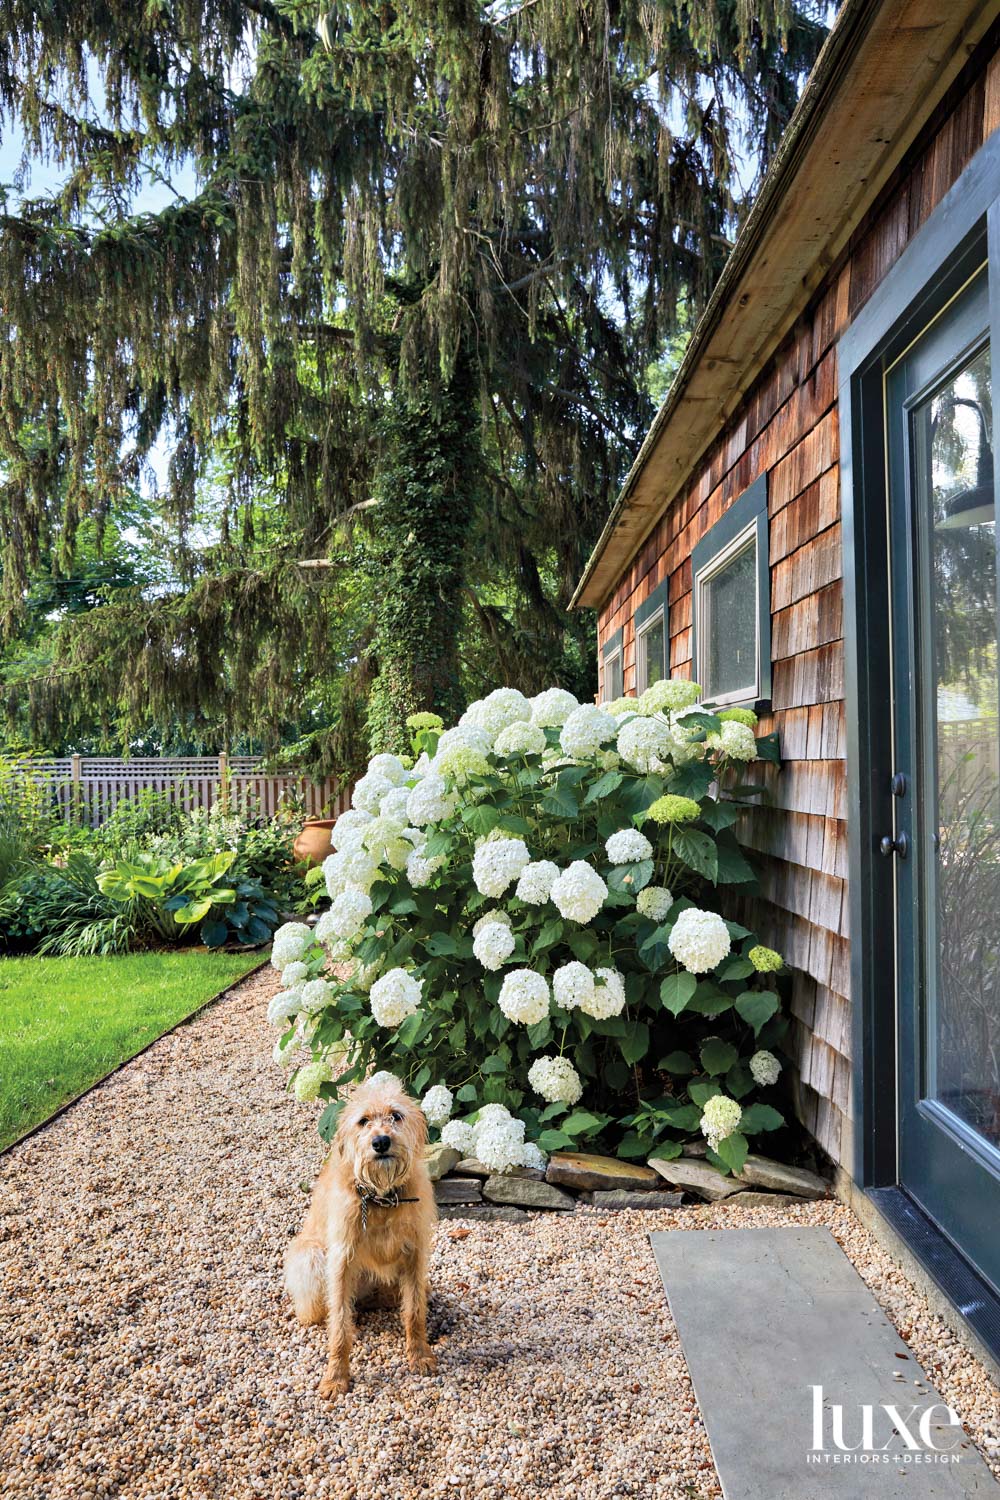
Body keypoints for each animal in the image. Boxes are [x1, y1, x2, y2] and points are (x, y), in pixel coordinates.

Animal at [283, 1080, 434, 1392]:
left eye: (396, 1115)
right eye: (363, 1121)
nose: (381, 1142)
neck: (382, 1200)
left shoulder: (415, 1255)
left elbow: (414, 1312)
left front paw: (419, 1355)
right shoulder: (341, 1262)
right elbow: (339, 1325)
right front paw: (336, 1377)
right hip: (311, 1256)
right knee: (321, 1312)